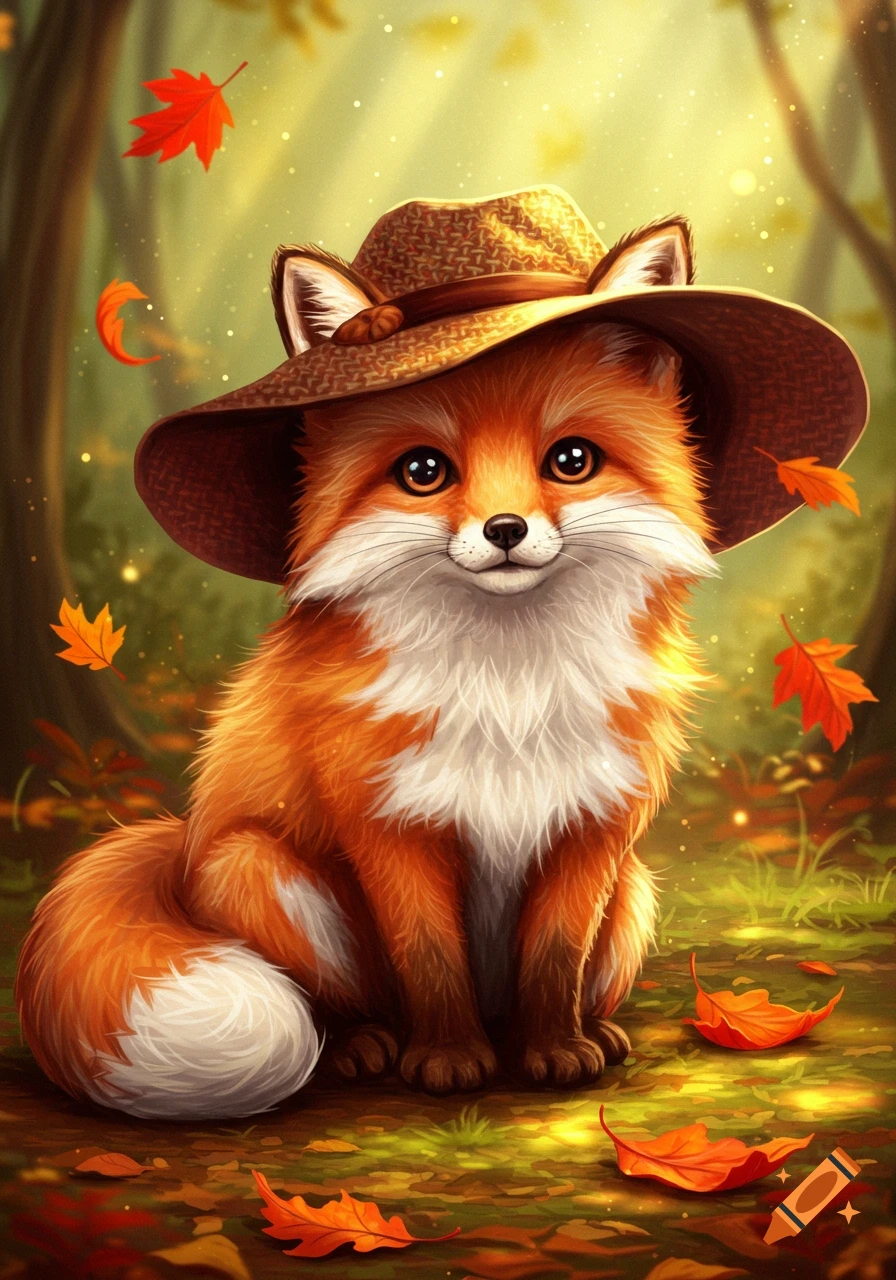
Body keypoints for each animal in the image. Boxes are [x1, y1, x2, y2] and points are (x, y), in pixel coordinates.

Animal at [17, 296, 717, 1120]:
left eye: (571, 460)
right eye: (423, 471)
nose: (504, 530)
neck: (508, 690)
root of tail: (185, 844)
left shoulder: (592, 826)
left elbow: (555, 957)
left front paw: (554, 1050)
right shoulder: (389, 823)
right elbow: (431, 957)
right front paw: (448, 1058)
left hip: (633, 892)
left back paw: (582, 1032)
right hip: (259, 870)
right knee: (345, 1007)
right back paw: (364, 1047)